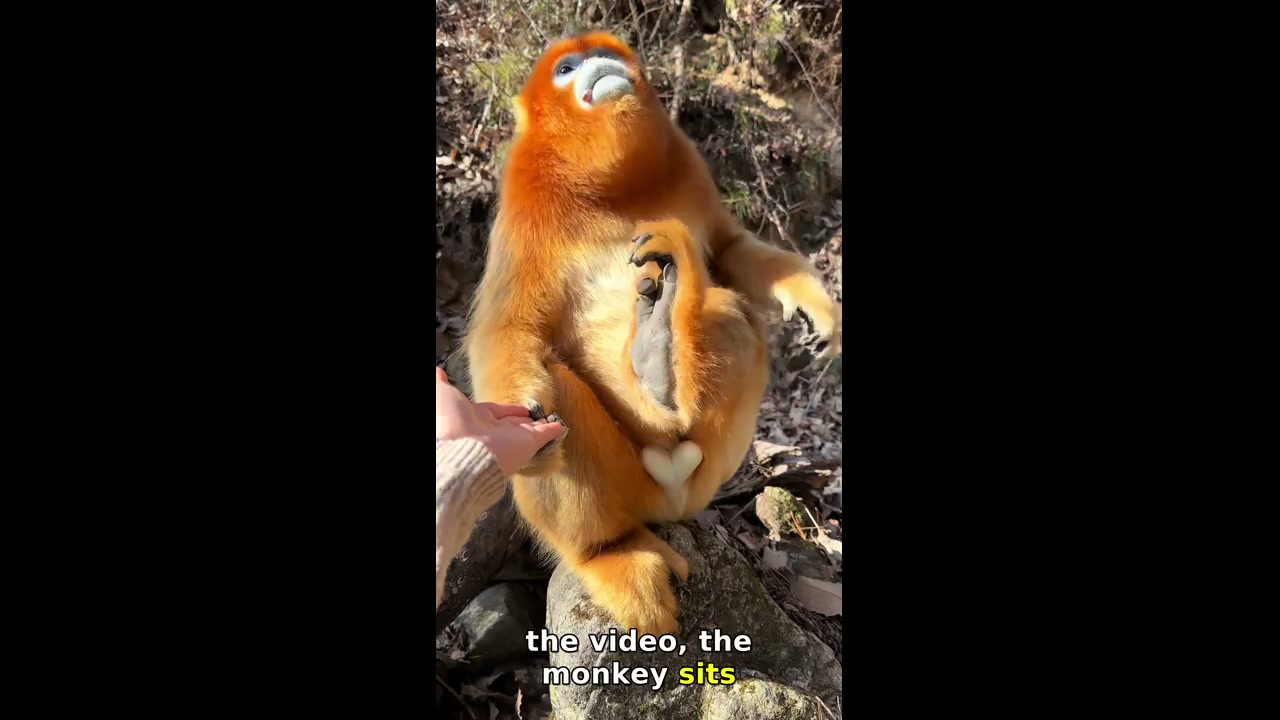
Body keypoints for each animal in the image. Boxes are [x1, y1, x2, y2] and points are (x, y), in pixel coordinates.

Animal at [461, 31, 841, 635]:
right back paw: (610, 552)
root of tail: (670, 491)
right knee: (555, 402)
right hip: (629, 490)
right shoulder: (524, 200)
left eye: (608, 53)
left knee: (732, 312)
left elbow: (729, 249)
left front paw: (814, 306)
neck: (609, 185)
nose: (600, 64)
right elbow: (509, 330)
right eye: (567, 68)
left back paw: (660, 347)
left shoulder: (686, 163)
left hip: (702, 473)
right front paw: (518, 416)